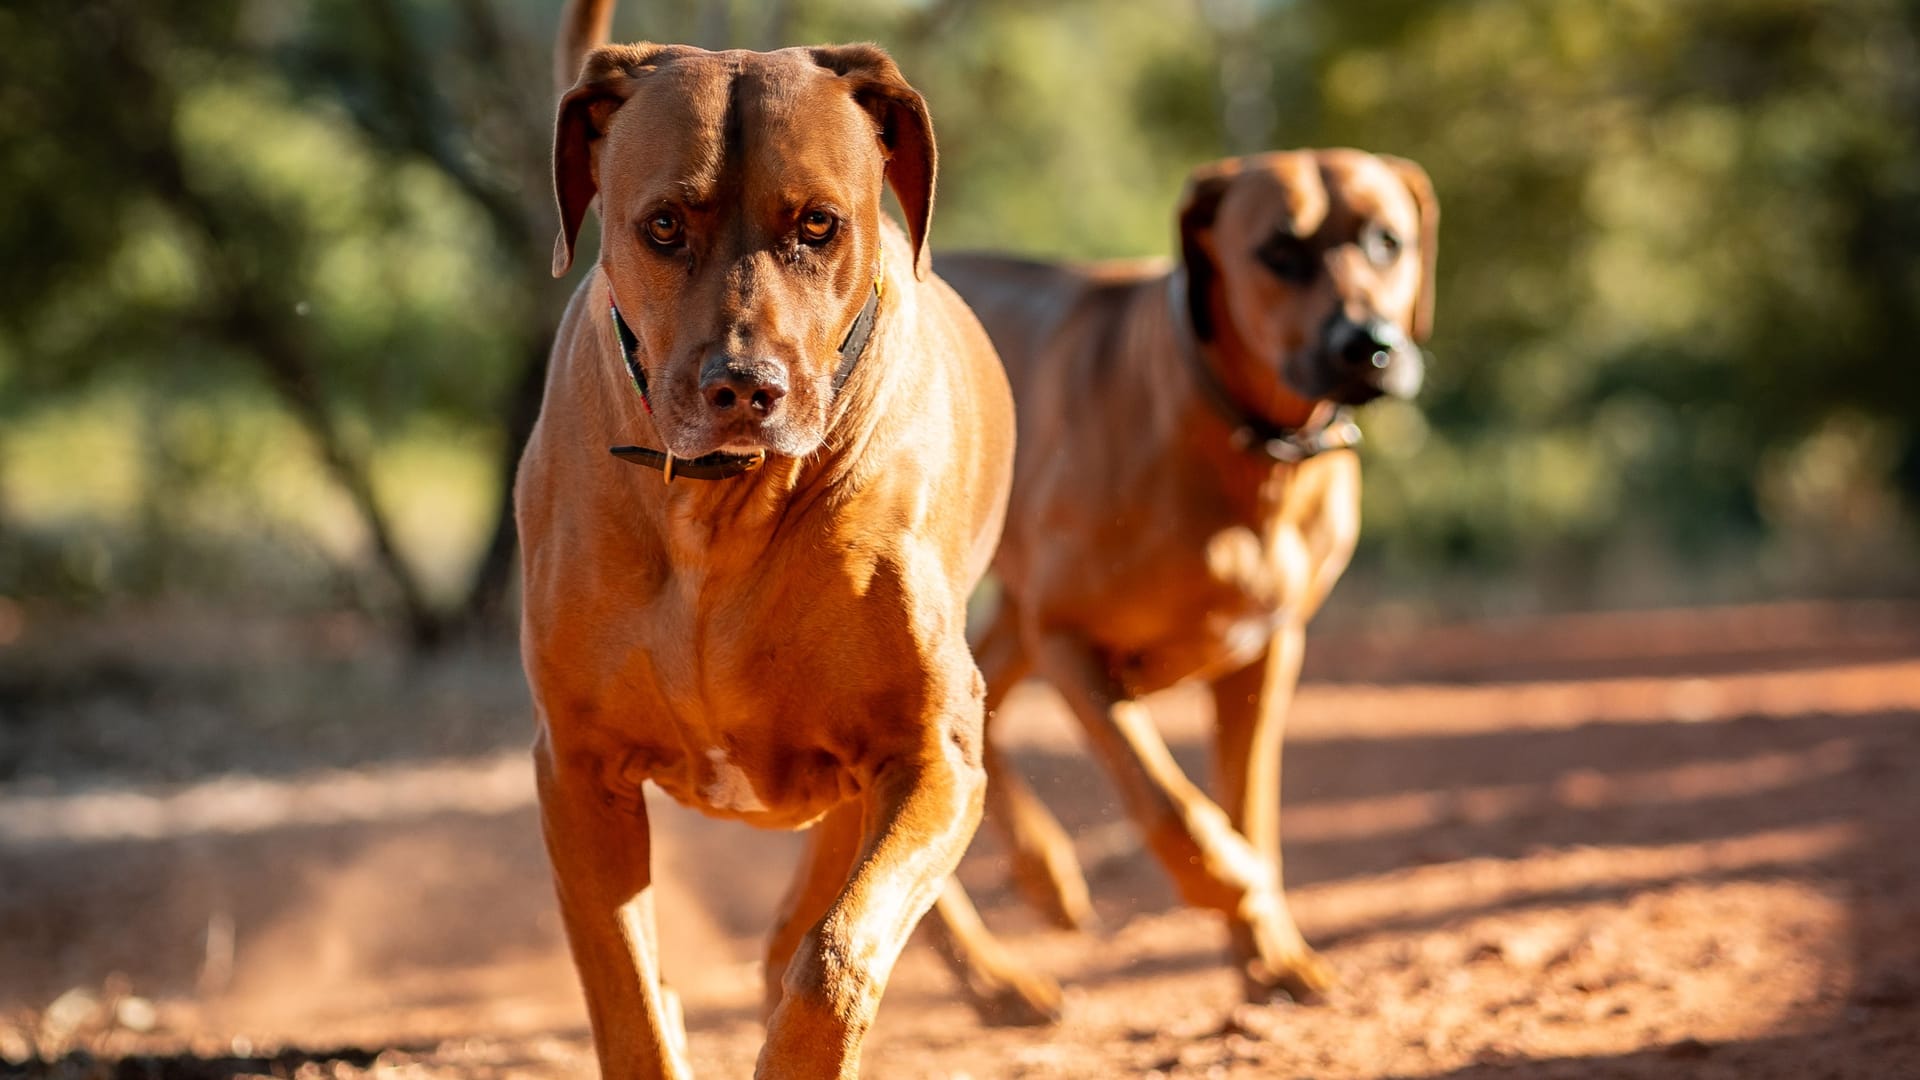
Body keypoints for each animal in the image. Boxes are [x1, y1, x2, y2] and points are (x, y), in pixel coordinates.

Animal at [510, 4, 1021, 1068]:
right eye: (664, 224)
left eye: (817, 224)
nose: (746, 387)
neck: (722, 508)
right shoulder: (576, 771)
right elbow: (626, 988)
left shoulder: (933, 750)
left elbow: (836, 954)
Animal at [929, 147, 1443, 1006]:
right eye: (1277, 251)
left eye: (1386, 242)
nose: (1367, 347)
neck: (1245, 449)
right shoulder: (1073, 641)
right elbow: (1174, 808)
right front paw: (1238, 888)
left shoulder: (1264, 654)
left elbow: (1248, 808)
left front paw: (1272, 953)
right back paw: (989, 976)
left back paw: (1035, 888)